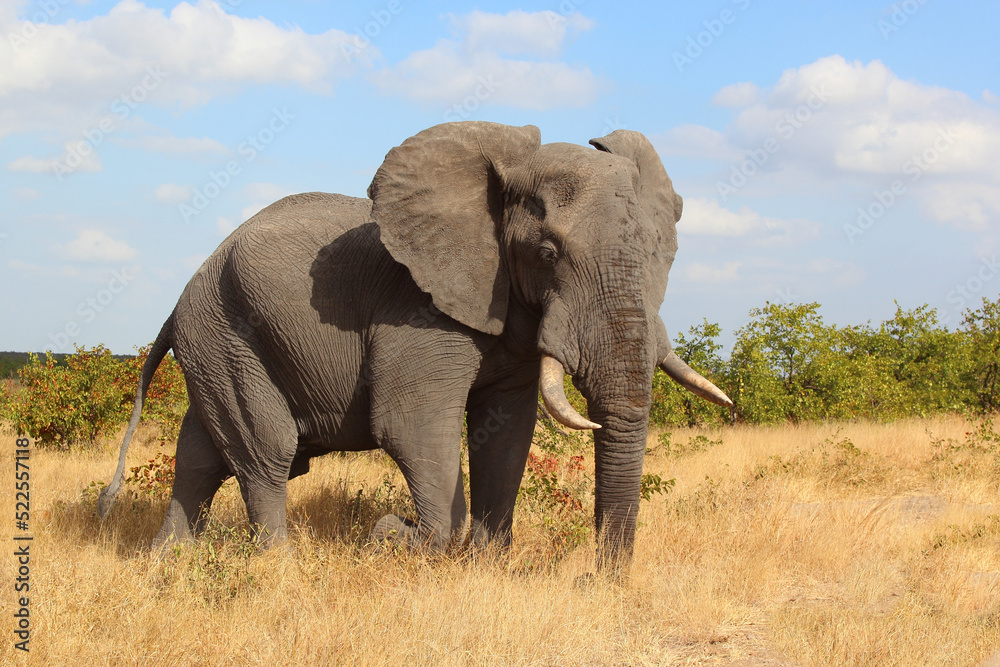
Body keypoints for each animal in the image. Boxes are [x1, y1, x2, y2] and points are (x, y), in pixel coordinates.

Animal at [97, 120, 732, 568]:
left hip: (218, 340)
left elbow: (508, 430)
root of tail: (183, 293)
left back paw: (166, 563)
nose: (594, 578)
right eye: (547, 252)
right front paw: (389, 536)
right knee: (265, 452)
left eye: (657, 252)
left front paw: (485, 567)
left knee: (201, 454)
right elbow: (410, 424)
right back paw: (275, 570)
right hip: (224, 331)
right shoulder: (418, 312)